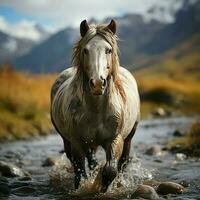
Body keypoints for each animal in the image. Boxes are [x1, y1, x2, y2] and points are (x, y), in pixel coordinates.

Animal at [50, 19, 140, 193]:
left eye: (108, 50)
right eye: (85, 50)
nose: (97, 83)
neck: (97, 110)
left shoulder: (115, 139)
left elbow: (111, 169)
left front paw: (102, 187)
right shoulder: (77, 142)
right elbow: (79, 169)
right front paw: (84, 186)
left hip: (129, 137)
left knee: (123, 162)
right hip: (68, 140)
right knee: (85, 161)